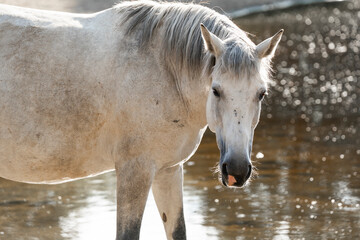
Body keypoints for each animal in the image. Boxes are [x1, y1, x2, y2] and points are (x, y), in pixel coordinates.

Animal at [0, 0, 282, 239]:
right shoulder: (135, 171)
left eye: (261, 93)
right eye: (216, 90)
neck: (163, 70)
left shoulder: (168, 170)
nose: (236, 170)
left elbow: (177, 231)